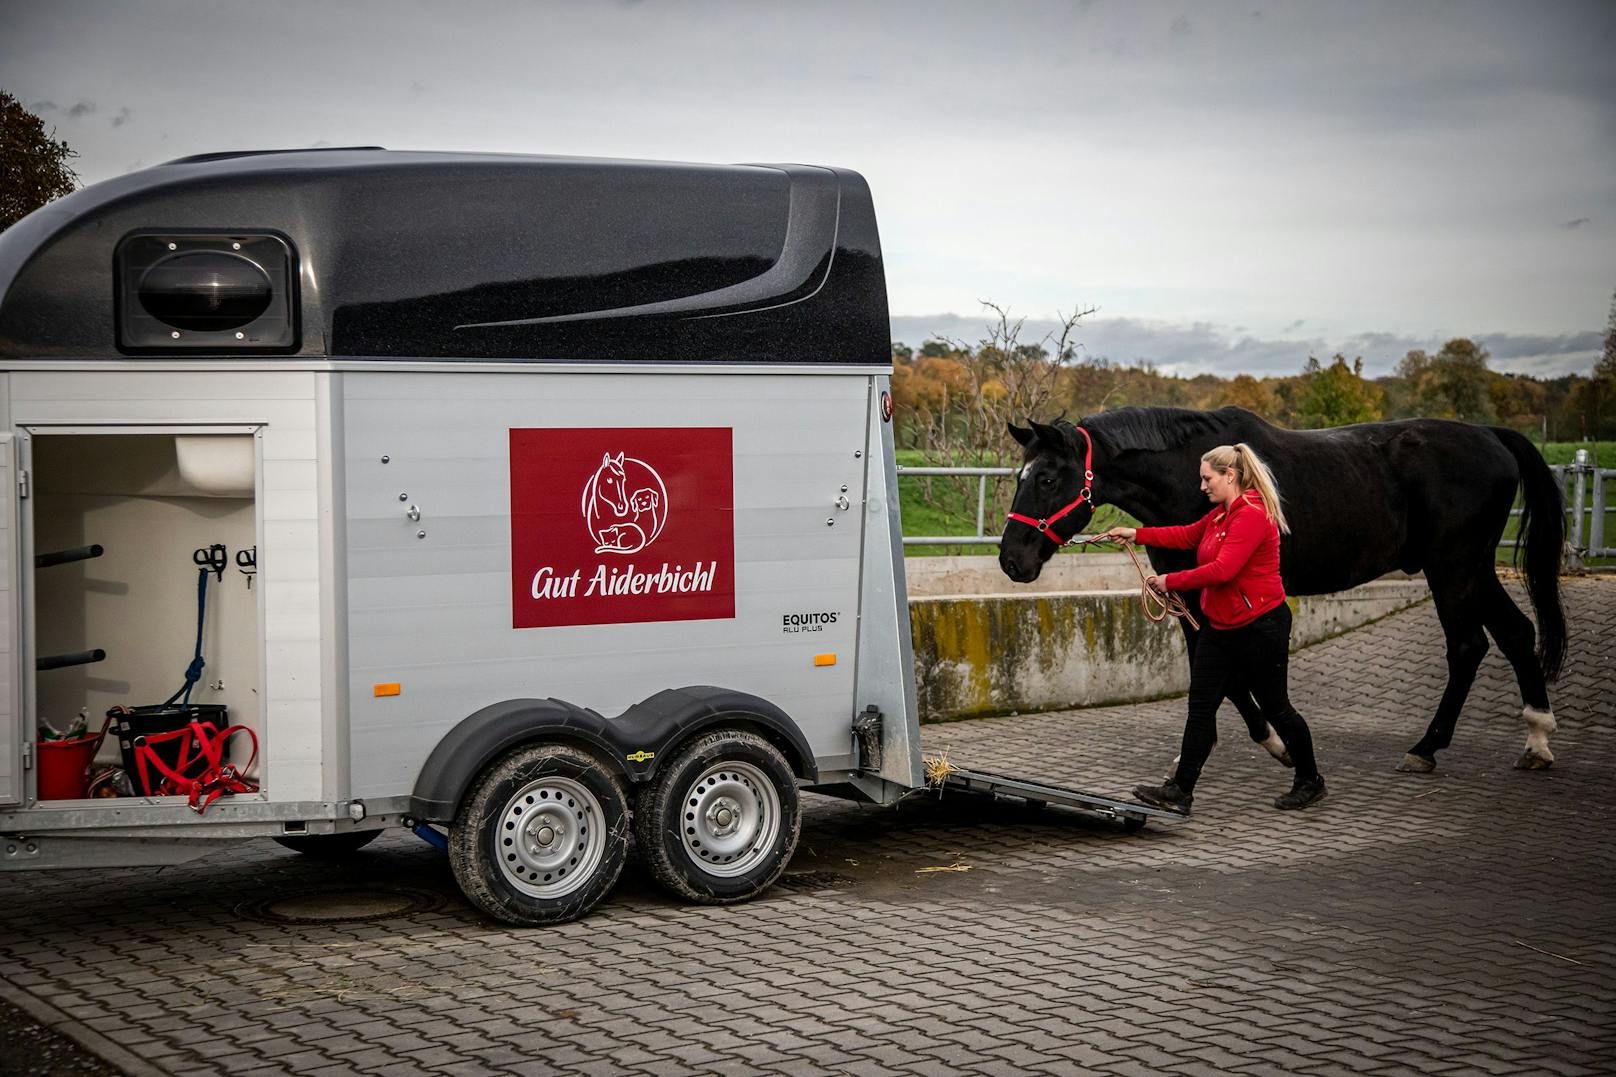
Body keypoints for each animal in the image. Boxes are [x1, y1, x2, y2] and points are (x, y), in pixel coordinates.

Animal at [995, 407, 1564, 766]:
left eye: (1047, 479)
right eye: (1023, 475)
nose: (1011, 560)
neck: (1187, 478)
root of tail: (1491, 436)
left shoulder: (1209, 592)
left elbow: (1223, 673)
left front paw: (1275, 742)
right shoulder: (1186, 595)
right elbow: (1212, 669)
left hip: (1452, 568)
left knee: (1467, 646)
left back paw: (1426, 748)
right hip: (1473, 568)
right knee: (1516, 633)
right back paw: (1537, 739)